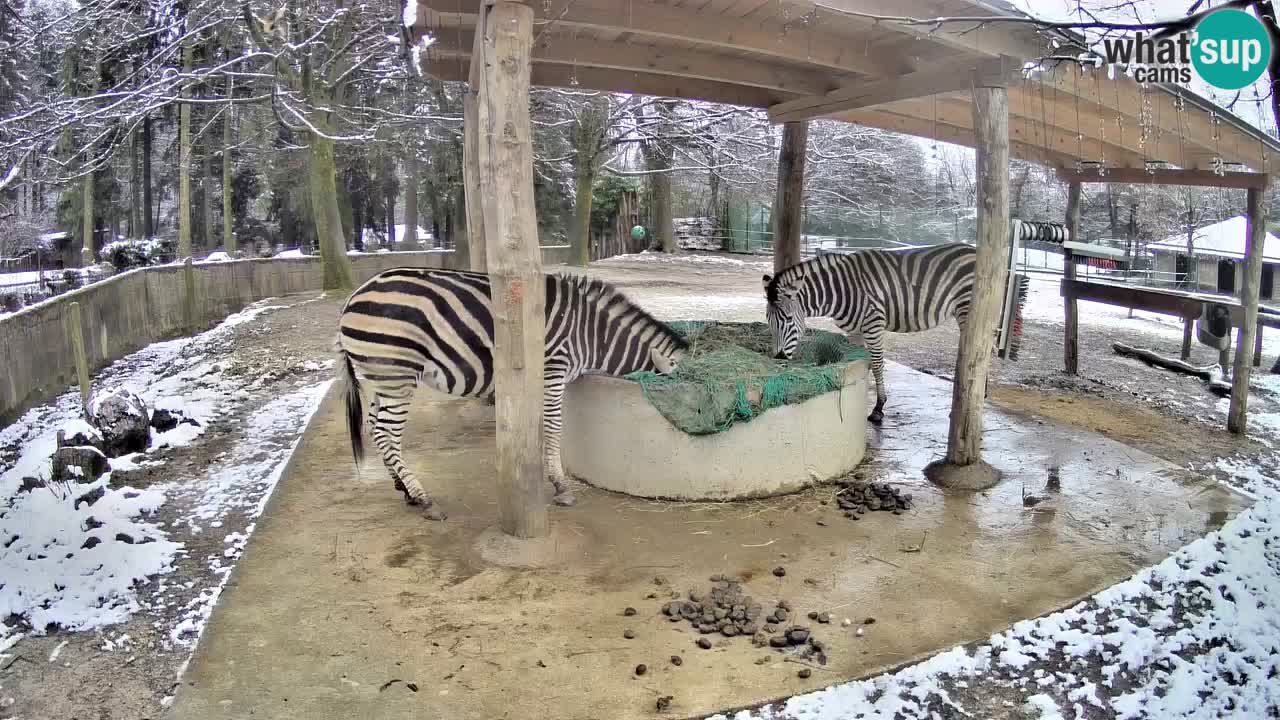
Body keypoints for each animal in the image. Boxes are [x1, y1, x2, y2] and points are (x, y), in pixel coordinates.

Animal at [335, 266, 686, 517]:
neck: (592, 335)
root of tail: (352, 298)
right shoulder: (553, 368)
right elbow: (554, 426)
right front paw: (560, 486)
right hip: (398, 373)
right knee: (386, 432)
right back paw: (423, 498)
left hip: (382, 378)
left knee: (374, 427)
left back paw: (404, 489)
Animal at [762, 240, 983, 422]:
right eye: (768, 321)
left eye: (788, 319)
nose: (779, 357)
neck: (842, 290)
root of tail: (973, 249)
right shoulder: (855, 330)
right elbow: (857, 363)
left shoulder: (873, 324)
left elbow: (876, 364)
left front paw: (878, 408)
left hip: (966, 310)